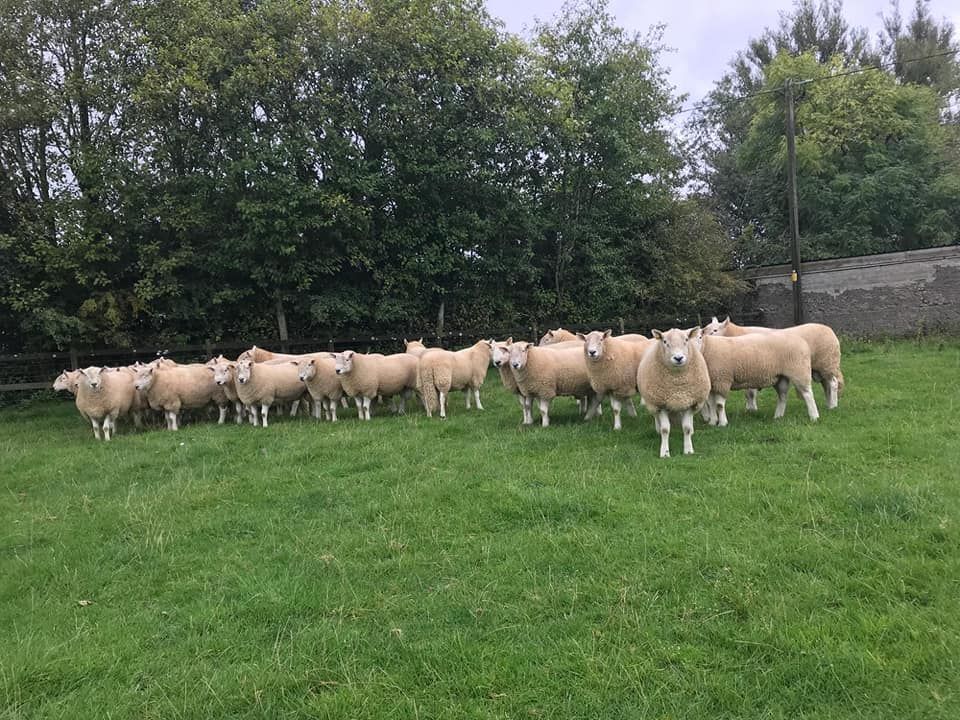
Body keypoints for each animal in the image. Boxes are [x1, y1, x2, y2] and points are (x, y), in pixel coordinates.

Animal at [637, 328, 711, 458]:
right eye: (665, 341)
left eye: (686, 340)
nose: (678, 358)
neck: (677, 385)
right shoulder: (660, 404)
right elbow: (665, 430)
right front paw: (665, 452)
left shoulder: (689, 403)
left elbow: (686, 428)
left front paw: (688, 450)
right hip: (652, 402)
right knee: (656, 417)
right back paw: (657, 429)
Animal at [706, 316, 844, 409]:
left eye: (715, 330)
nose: (703, 336)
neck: (735, 334)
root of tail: (829, 329)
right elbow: (748, 393)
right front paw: (749, 409)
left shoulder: (753, 368)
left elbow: (750, 393)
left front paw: (752, 409)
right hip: (820, 366)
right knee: (826, 385)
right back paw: (829, 404)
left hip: (827, 362)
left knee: (833, 383)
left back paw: (833, 405)